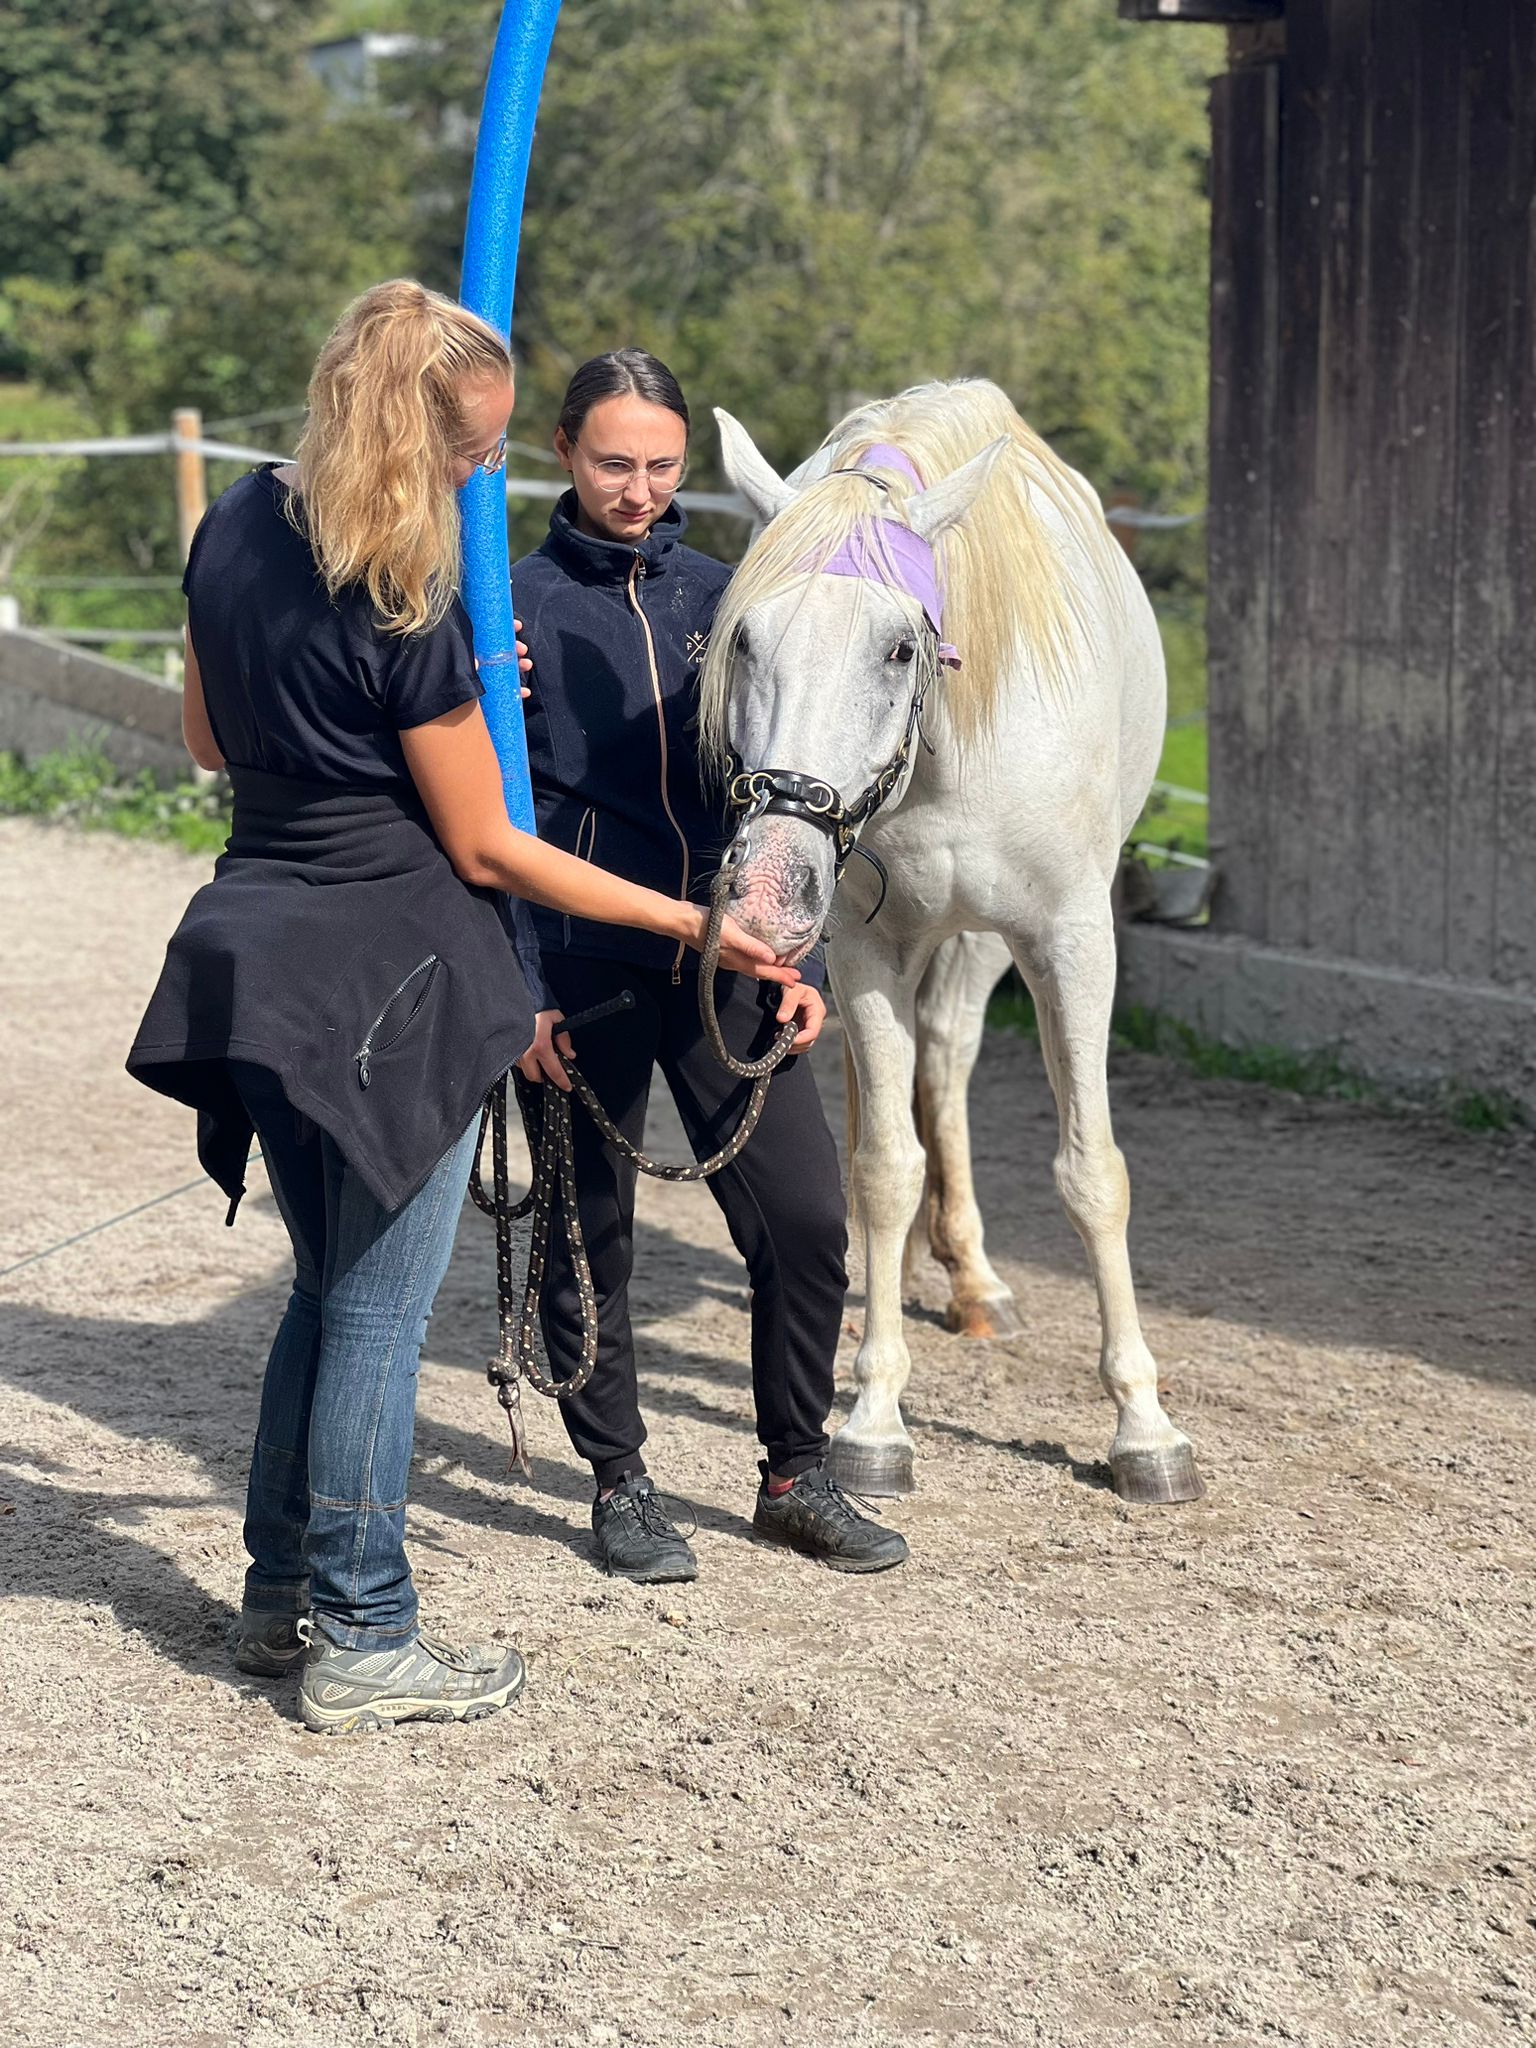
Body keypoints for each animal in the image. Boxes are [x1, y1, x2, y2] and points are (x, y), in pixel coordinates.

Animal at [704, 380, 1212, 1507]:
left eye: (900, 646)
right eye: (744, 638)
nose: (767, 886)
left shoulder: (1070, 940)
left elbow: (1093, 1171)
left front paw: (1146, 1430)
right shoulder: (862, 949)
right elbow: (886, 1167)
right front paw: (873, 1419)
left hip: (982, 943)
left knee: (948, 1053)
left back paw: (976, 1283)